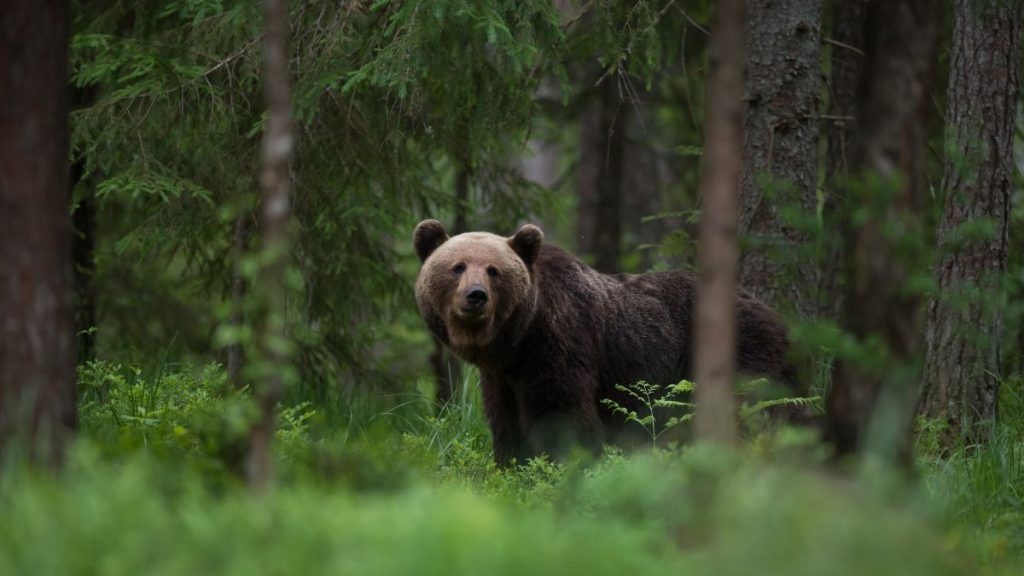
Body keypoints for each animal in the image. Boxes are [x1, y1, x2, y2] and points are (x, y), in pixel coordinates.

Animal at [413, 219, 798, 466]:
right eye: (458, 267)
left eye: (494, 271)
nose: (476, 296)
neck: (517, 340)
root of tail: (777, 316)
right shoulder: (502, 376)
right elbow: (505, 421)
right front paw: (512, 466)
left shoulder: (560, 342)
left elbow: (561, 413)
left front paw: (562, 466)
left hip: (743, 351)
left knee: (756, 412)